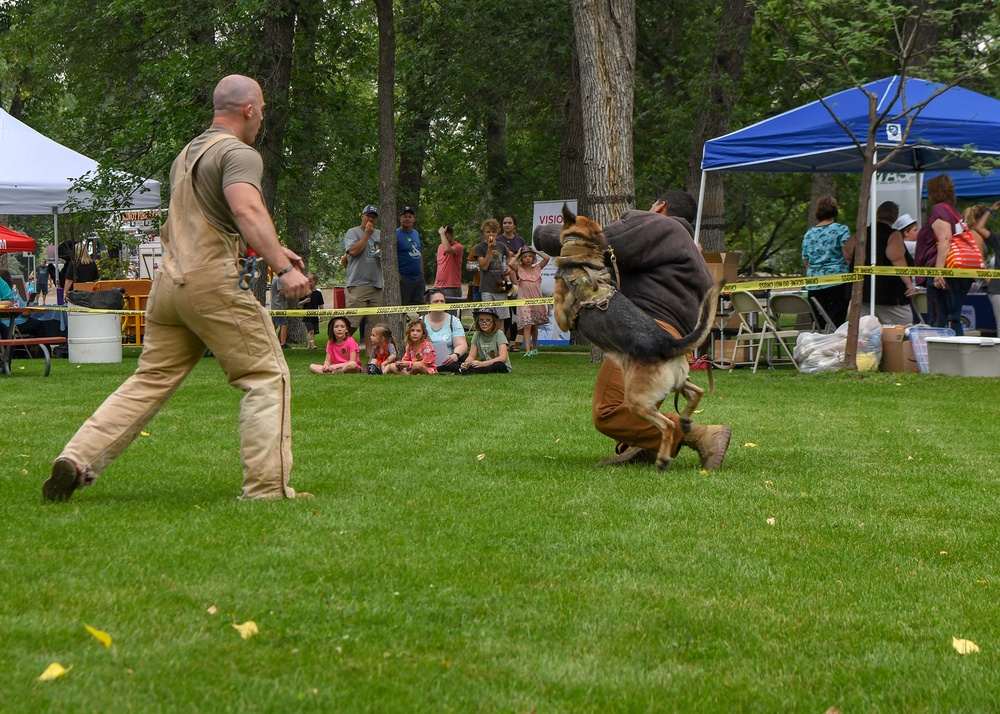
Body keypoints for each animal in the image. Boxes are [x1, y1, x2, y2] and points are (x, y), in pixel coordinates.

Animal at [556, 204, 720, 468]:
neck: (582, 254)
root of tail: (668, 343)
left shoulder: (561, 316)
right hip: (676, 381)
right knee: (697, 393)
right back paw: (686, 422)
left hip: (637, 400)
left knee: (666, 424)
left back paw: (663, 458)